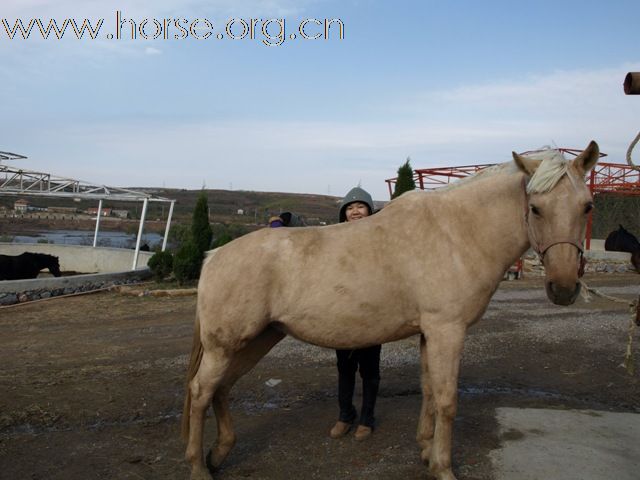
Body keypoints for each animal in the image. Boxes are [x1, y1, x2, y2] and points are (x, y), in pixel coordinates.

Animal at [184, 141, 600, 478]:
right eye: (536, 207)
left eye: (587, 206)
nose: (563, 288)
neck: (456, 233)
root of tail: (214, 256)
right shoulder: (448, 330)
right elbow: (447, 399)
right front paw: (443, 468)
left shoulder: (430, 332)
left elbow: (429, 390)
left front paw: (426, 451)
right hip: (227, 345)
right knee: (202, 391)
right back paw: (199, 467)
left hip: (258, 339)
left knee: (222, 388)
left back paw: (218, 454)